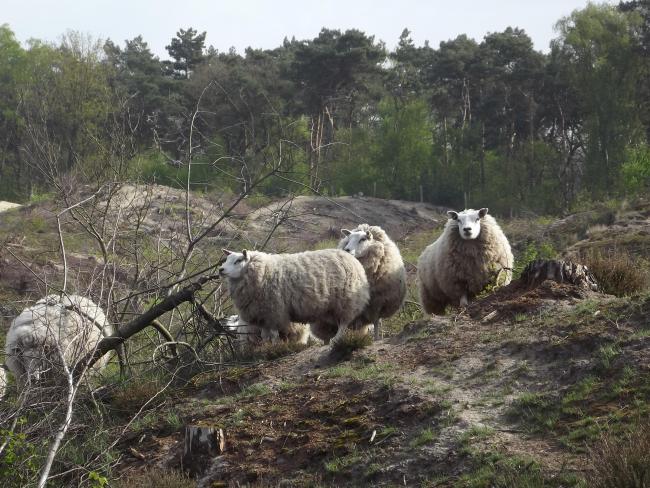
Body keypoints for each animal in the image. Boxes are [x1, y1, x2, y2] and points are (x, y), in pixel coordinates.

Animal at [219, 250, 368, 346]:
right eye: (226, 259)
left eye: (238, 260)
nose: (220, 269)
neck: (264, 271)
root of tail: (353, 259)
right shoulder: (263, 316)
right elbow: (265, 336)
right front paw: (266, 348)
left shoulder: (274, 312)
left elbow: (273, 335)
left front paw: (275, 346)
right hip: (329, 310)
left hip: (347, 301)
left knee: (343, 323)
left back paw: (336, 340)